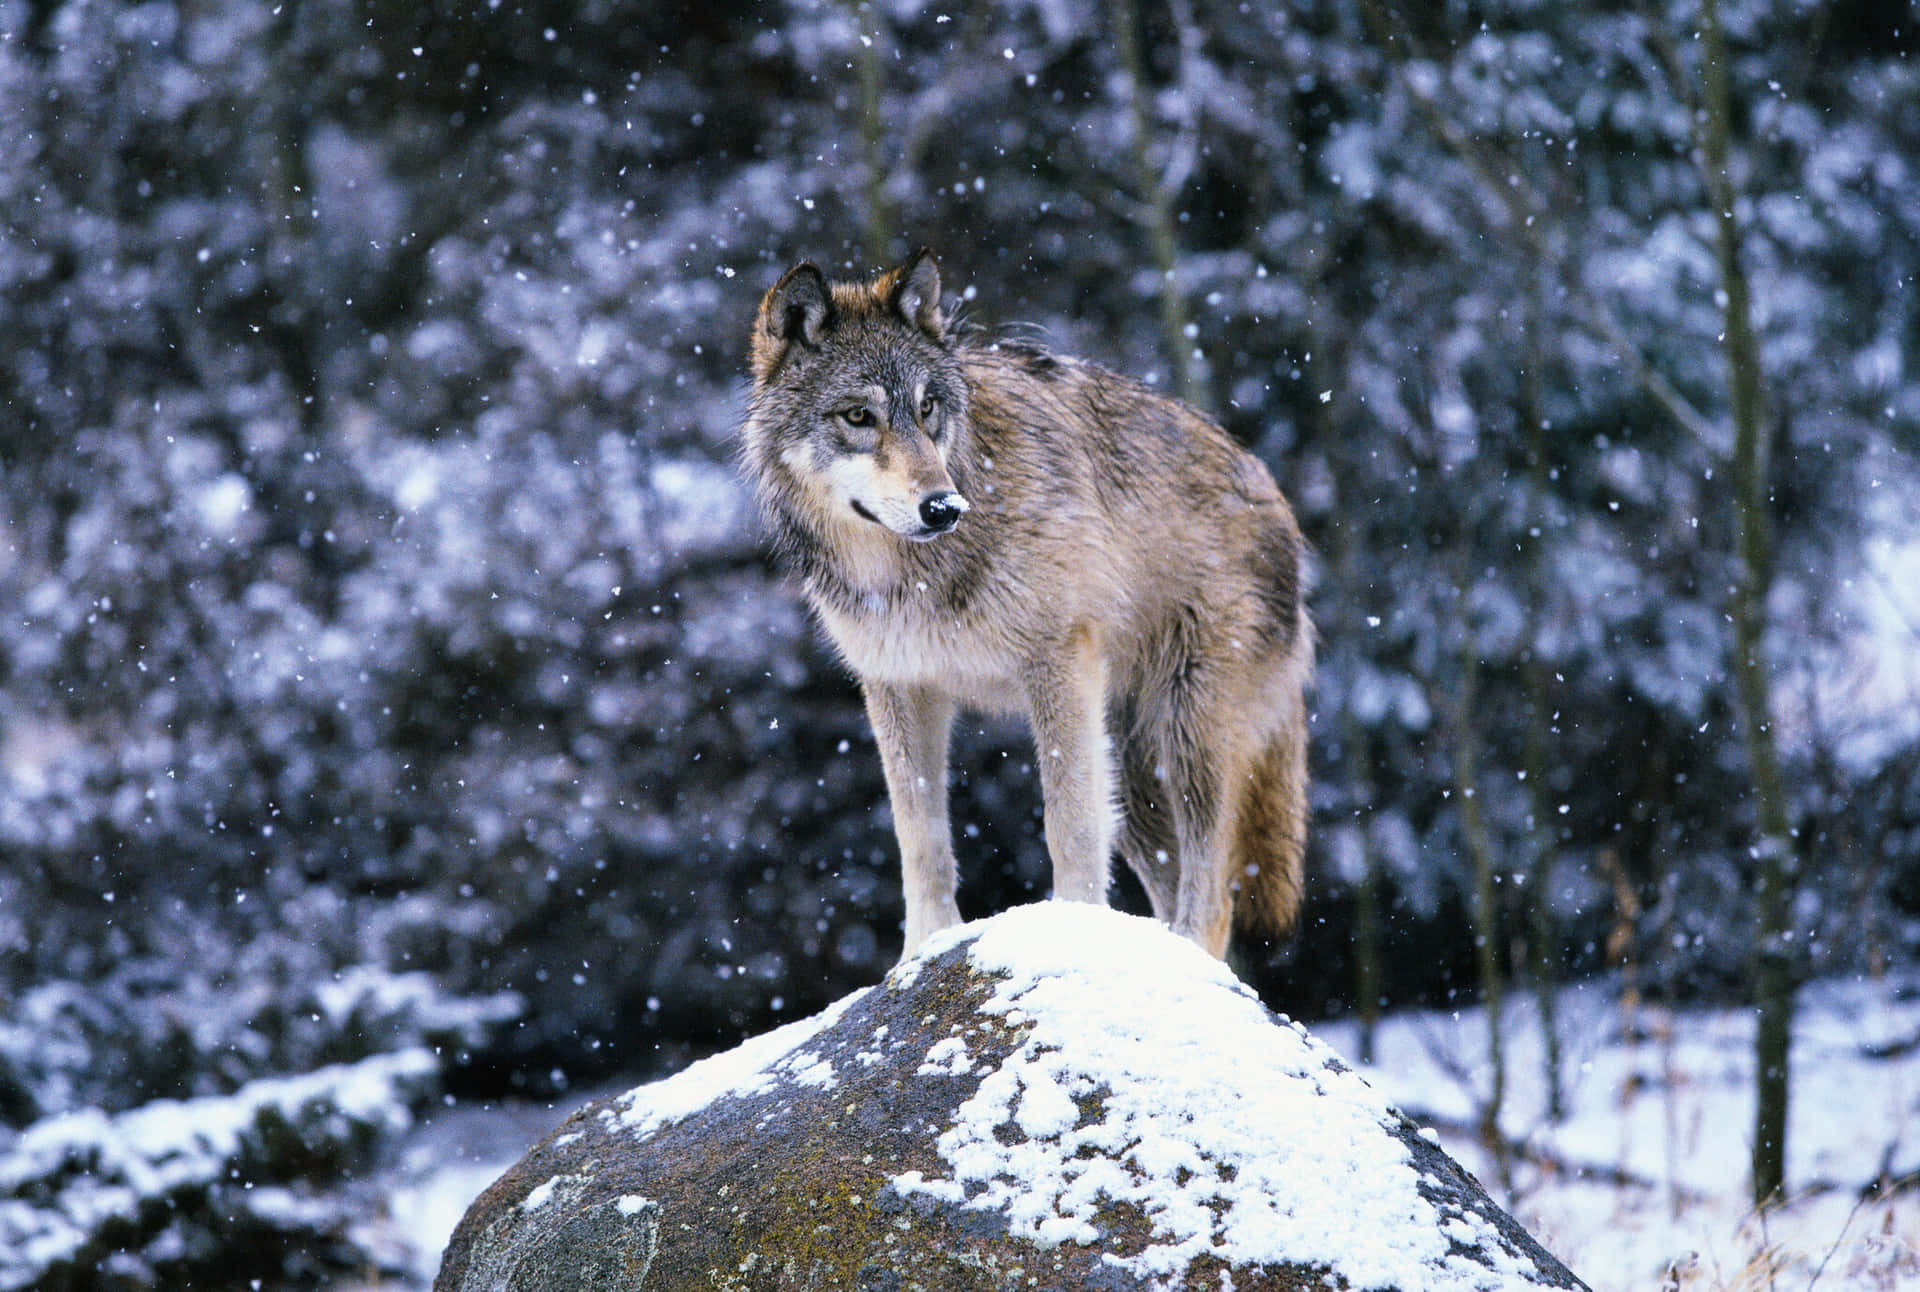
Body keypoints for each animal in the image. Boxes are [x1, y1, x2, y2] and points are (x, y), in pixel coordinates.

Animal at [741, 249, 1313, 956]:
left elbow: (1068, 823)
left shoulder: (1057, 666)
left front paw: (1073, 929)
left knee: (1215, 893)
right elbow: (920, 836)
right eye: (857, 417)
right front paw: (924, 948)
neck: (912, 576)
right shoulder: (899, 686)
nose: (942, 506)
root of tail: (1276, 498)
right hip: (1134, 773)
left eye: (928, 408)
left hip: (1189, 736)